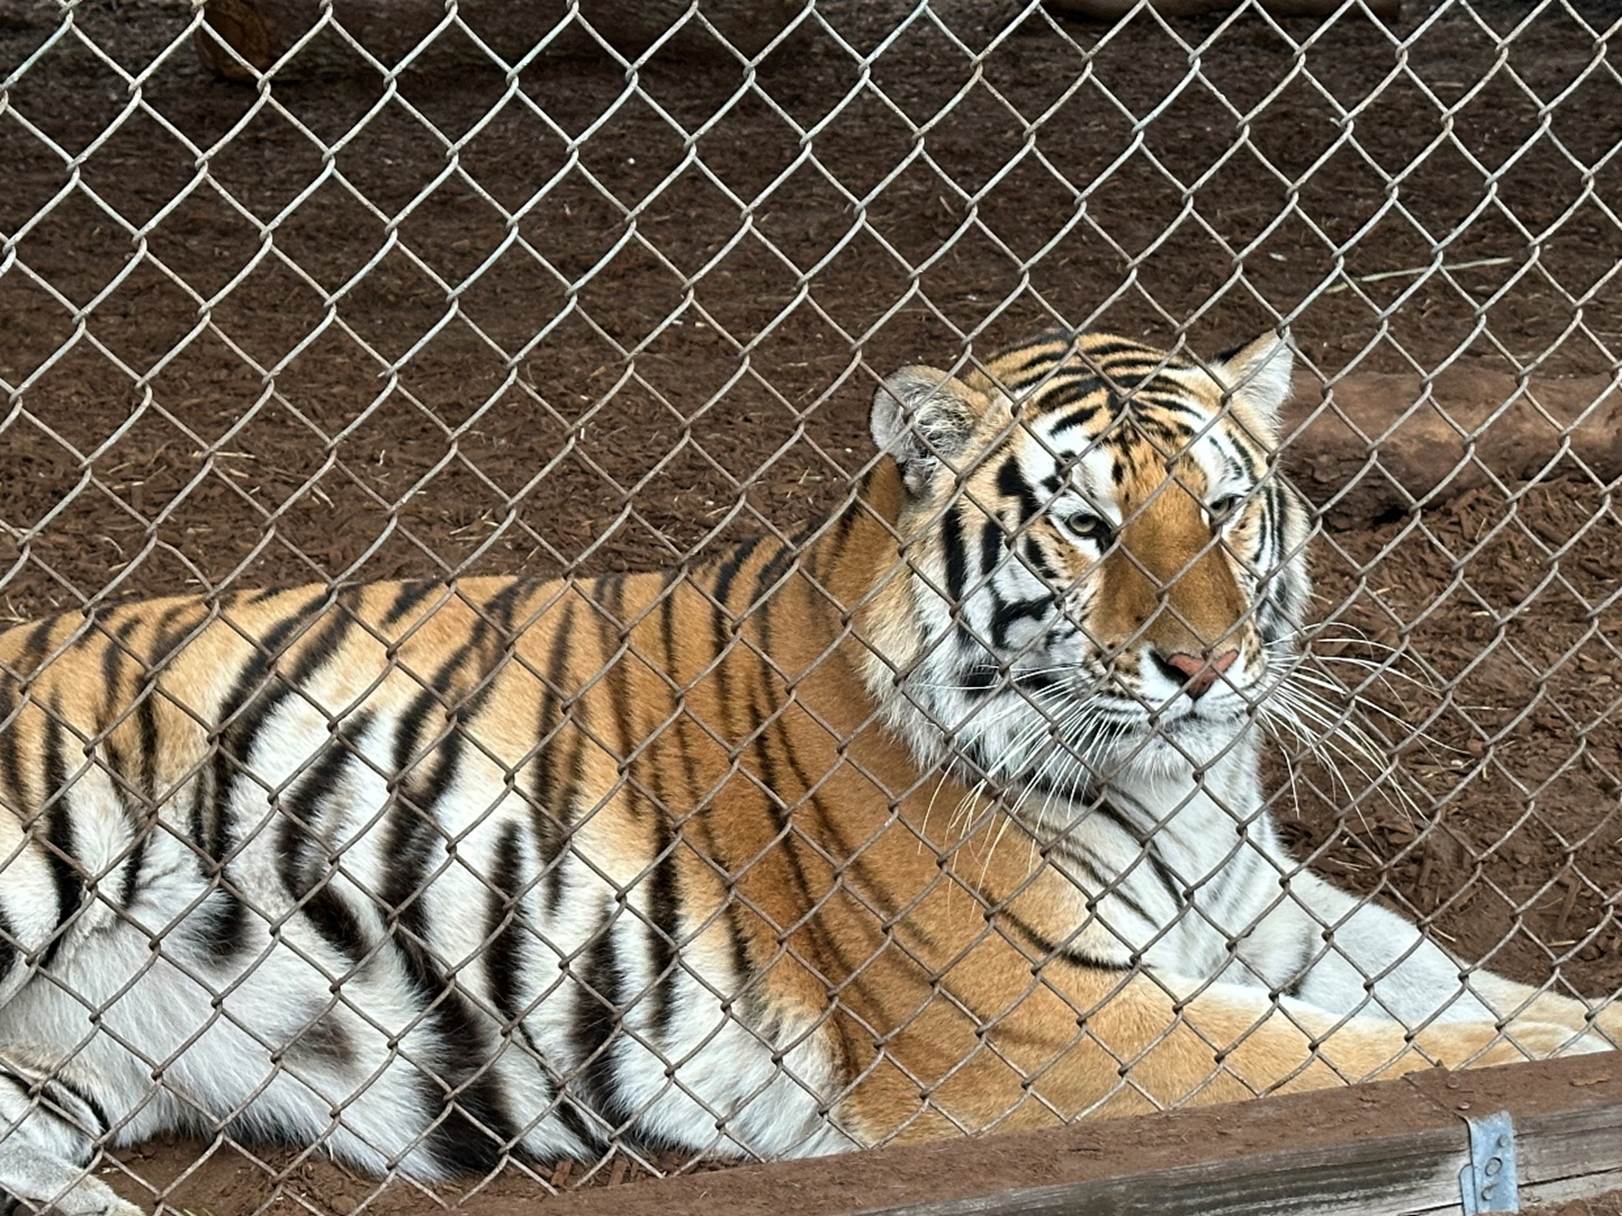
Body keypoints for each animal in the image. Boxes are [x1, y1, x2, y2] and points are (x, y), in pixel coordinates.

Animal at [0, 329, 1614, 1215]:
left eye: (1219, 510)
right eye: (1086, 527)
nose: (1205, 668)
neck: (1180, 791)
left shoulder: (1266, 912)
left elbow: (1467, 993)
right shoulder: (1045, 1025)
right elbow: (1389, 1057)